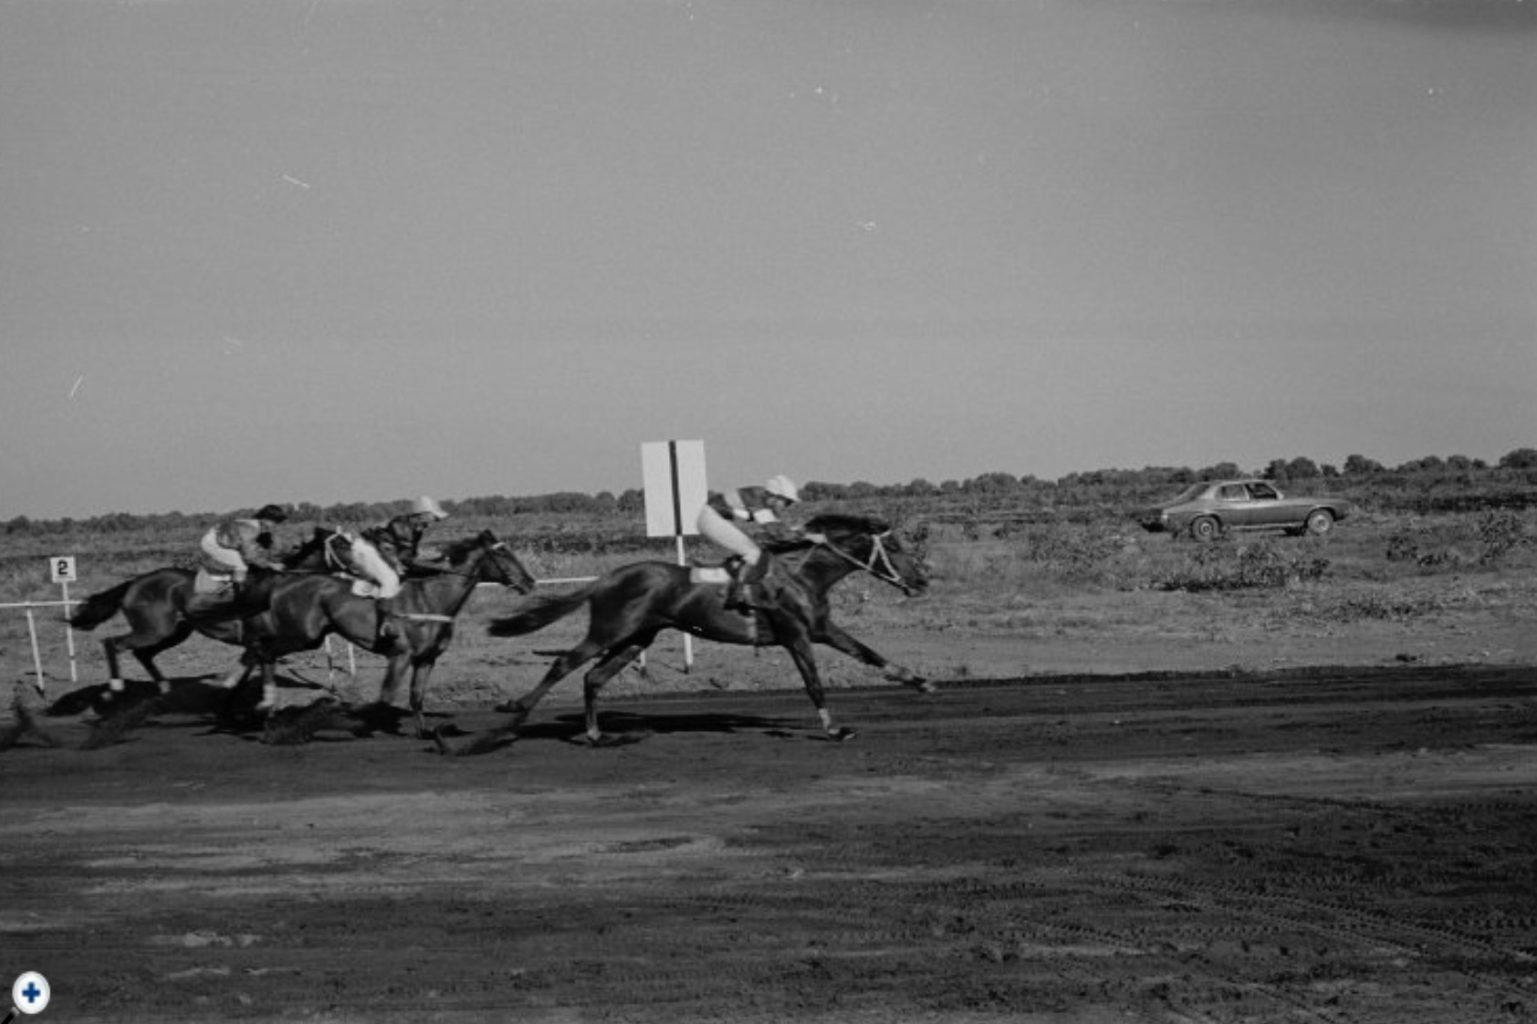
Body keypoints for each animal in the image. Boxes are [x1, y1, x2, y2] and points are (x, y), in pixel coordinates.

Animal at [448, 513, 928, 747]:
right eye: (896, 546)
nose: (922, 581)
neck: (802, 577)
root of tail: (606, 578)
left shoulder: (822, 629)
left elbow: (868, 653)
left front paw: (920, 680)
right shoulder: (796, 635)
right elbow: (814, 684)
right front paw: (834, 729)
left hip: (637, 637)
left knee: (593, 677)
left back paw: (596, 734)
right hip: (611, 630)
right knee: (565, 664)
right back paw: (515, 710)